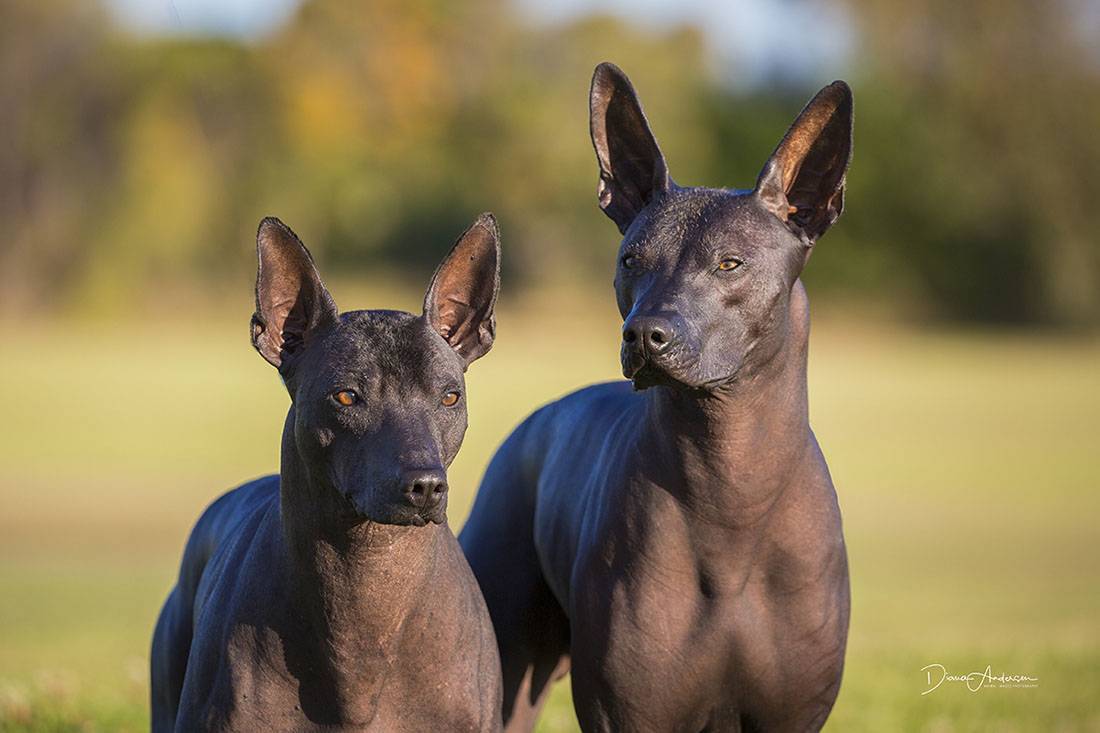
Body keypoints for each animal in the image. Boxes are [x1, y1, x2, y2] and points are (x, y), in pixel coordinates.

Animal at [459, 64, 853, 730]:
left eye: (730, 263)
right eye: (631, 260)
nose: (643, 334)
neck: (732, 489)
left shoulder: (793, 715)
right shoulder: (629, 714)